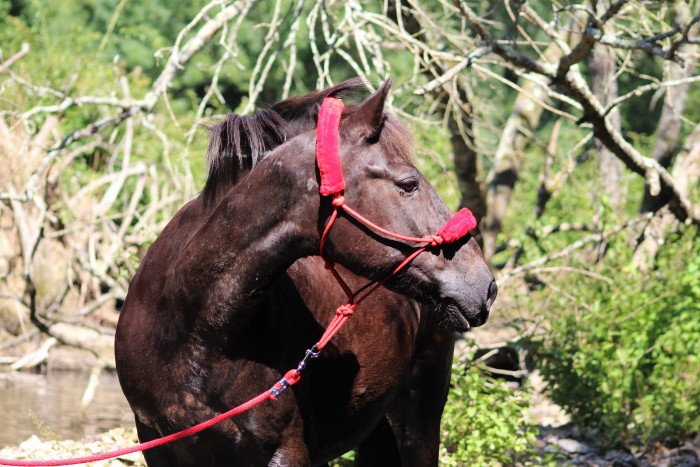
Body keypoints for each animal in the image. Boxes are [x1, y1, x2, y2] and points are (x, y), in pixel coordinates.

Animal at [115, 78, 494, 466]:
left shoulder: (287, 450)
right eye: (408, 184)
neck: (193, 333)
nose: (486, 285)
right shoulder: (156, 444)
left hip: (419, 420)